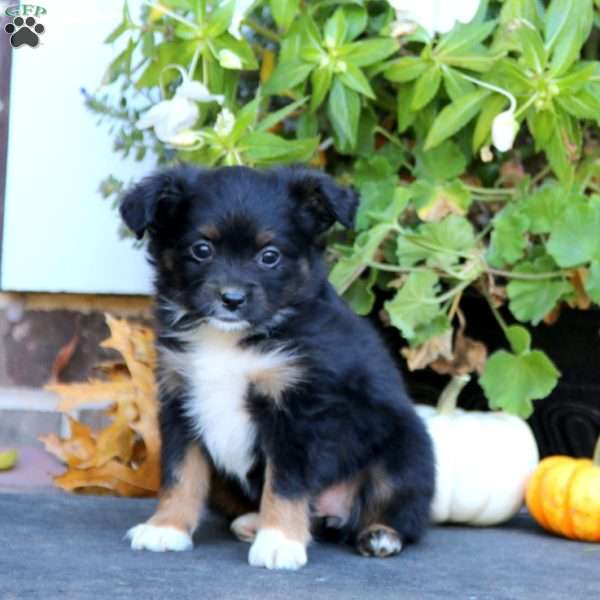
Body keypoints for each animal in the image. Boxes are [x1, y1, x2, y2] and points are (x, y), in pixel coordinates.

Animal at [120, 165, 432, 572]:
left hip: (405, 452)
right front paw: (166, 527)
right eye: (201, 249)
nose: (231, 299)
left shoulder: (296, 410)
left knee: (400, 512)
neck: (230, 339)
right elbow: (179, 472)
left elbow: (285, 482)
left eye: (269, 256)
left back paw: (380, 535)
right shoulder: (179, 399)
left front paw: (279, 541)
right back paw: (253, 522)